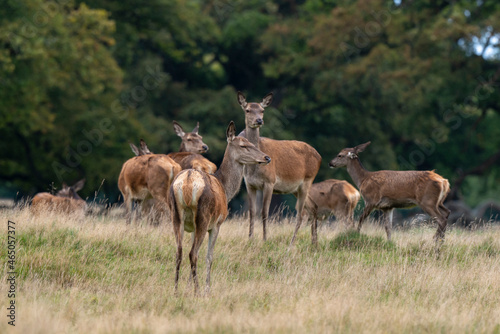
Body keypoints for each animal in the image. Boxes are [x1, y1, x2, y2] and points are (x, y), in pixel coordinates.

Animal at [167, 121, 270, 294]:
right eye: (243, 145)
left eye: (251, 143)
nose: (266, 157)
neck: (225, 188)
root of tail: (187, 181)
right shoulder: (217, 224)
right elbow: (209, 257)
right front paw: (207, 288)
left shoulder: (192, 227)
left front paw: (187, 287)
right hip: (203, 216)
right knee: (193, 253)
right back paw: (198, 291)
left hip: (176, 215)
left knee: (179, 252)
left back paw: (175, 290)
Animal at [236, 91, 322, 245]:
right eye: (247, 110)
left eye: (262, 110)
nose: (259, 120)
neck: (253, 169)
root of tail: (320, 156)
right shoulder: (250, 184)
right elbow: (251, 212)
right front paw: (250, 238)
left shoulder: (269, 182)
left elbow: (264, 212)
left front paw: (264, 239)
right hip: (295, 188)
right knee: (313, 207)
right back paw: (314, 243)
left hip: (308, 180)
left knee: (300, 214)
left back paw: (292, 243)